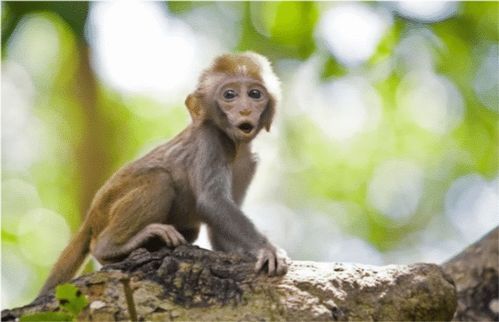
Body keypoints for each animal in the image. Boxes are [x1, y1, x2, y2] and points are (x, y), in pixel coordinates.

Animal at [38, 51, 290, 296]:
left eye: (255, 94)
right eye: (230, 95)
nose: (245, 109)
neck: (235, 146)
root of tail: (92, 214)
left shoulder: (249, 162)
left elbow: (217, 226)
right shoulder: (209, 140)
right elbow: (212, 202)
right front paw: (267, 249)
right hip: (110, 206)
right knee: (160, 181)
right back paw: (112, 247)